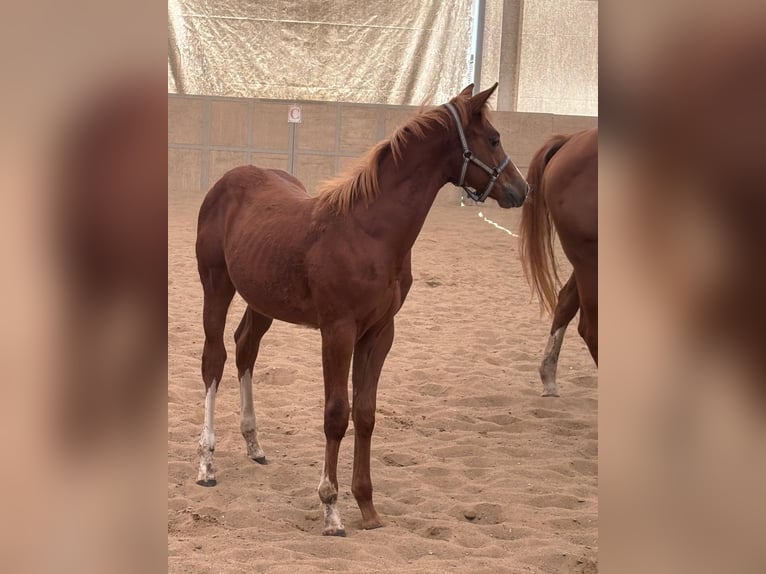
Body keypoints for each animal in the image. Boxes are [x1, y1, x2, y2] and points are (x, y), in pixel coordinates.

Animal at [194, 83, 529, 536]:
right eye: (493, 139)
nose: (521, 189)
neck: (370, 232)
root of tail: (227, 181)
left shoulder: (380, 332)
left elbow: (366, 414)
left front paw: (368, 507)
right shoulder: (338, 331)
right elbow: (337, 413)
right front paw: (331, 508)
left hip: (261, 300)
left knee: (246, 348)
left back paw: (254, 444)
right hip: (216, 286)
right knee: (215, 360)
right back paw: (207, 464)